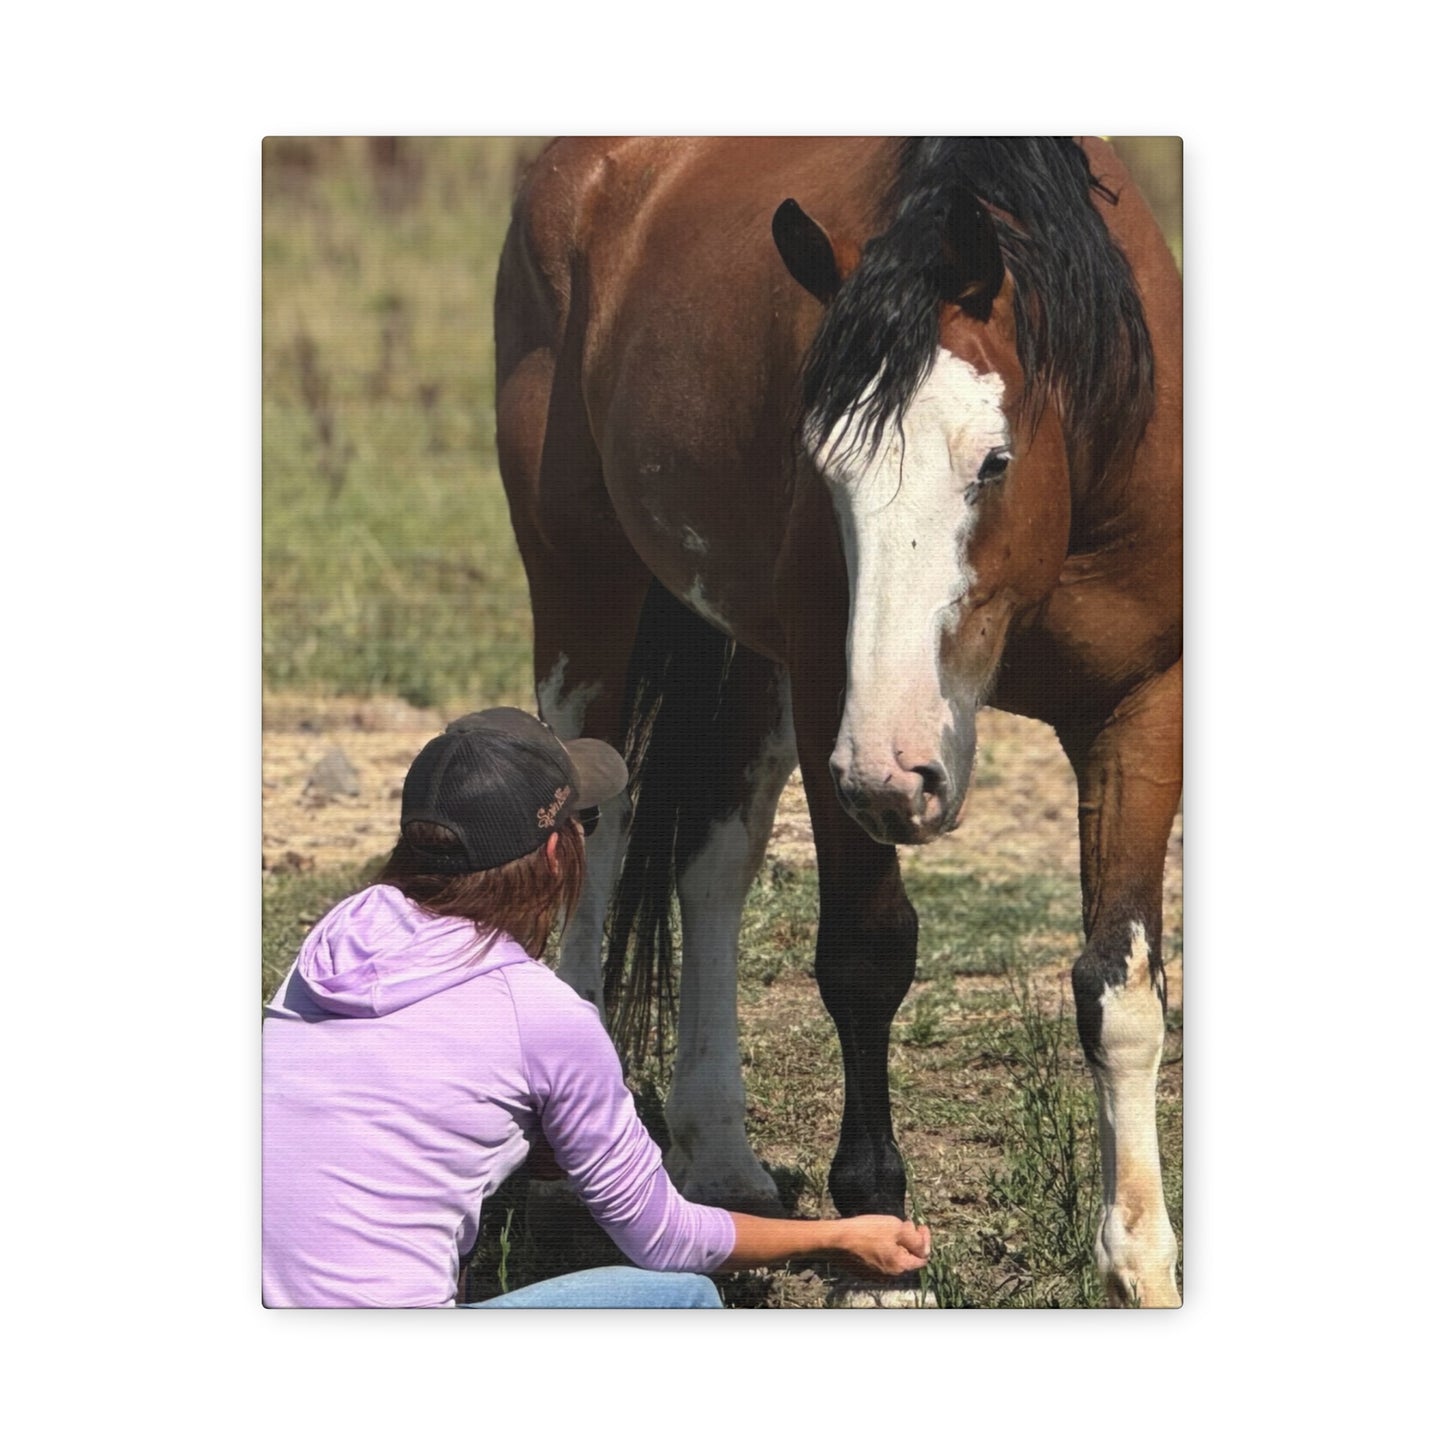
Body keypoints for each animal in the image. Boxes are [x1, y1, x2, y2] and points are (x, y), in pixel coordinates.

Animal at [493, 137, 1182, 1306]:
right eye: (823, 466)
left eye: (991, 460)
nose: (896, 772)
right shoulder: (832, 697)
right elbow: (864, 956)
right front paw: (879, 1245)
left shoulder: (1141, 703)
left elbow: (1119, 983)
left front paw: (1140, 1258)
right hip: (585, 591)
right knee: (597, 831)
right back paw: (561, 1173)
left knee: (712, 865)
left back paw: (718, 1154)